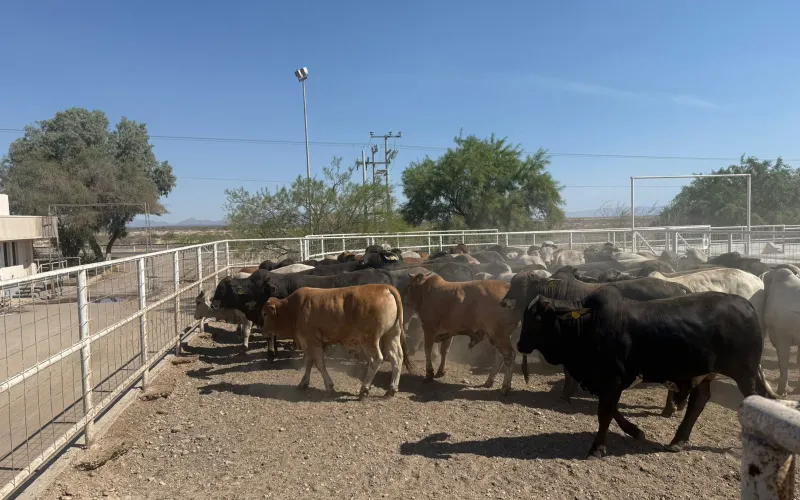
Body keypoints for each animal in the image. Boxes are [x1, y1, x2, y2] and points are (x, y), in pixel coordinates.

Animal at [262, 284, 412, 398]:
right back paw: (391, 389)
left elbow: (319, 364)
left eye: (264, 314)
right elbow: (309, 362)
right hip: (392, 335)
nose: (262, 330)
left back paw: (364, 389)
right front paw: (303, 383)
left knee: (376, 359)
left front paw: (329, 386)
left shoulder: (312, 341)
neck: (294, 309)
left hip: (369, 340)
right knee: (397, 358)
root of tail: (385, 287)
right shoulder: (308, 343)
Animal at [517, 286, 778, 458]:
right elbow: (611, 411)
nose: (520, 345)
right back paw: (678, 441)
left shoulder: (612, 380)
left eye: (537, 317)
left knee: (753, 399)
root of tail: (746, 305)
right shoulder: (603, 383)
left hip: (745, 373)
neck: (586, 324)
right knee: (699, 402)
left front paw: (597, 448)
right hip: (704, 373)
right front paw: (635, 431)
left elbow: (605, 413)